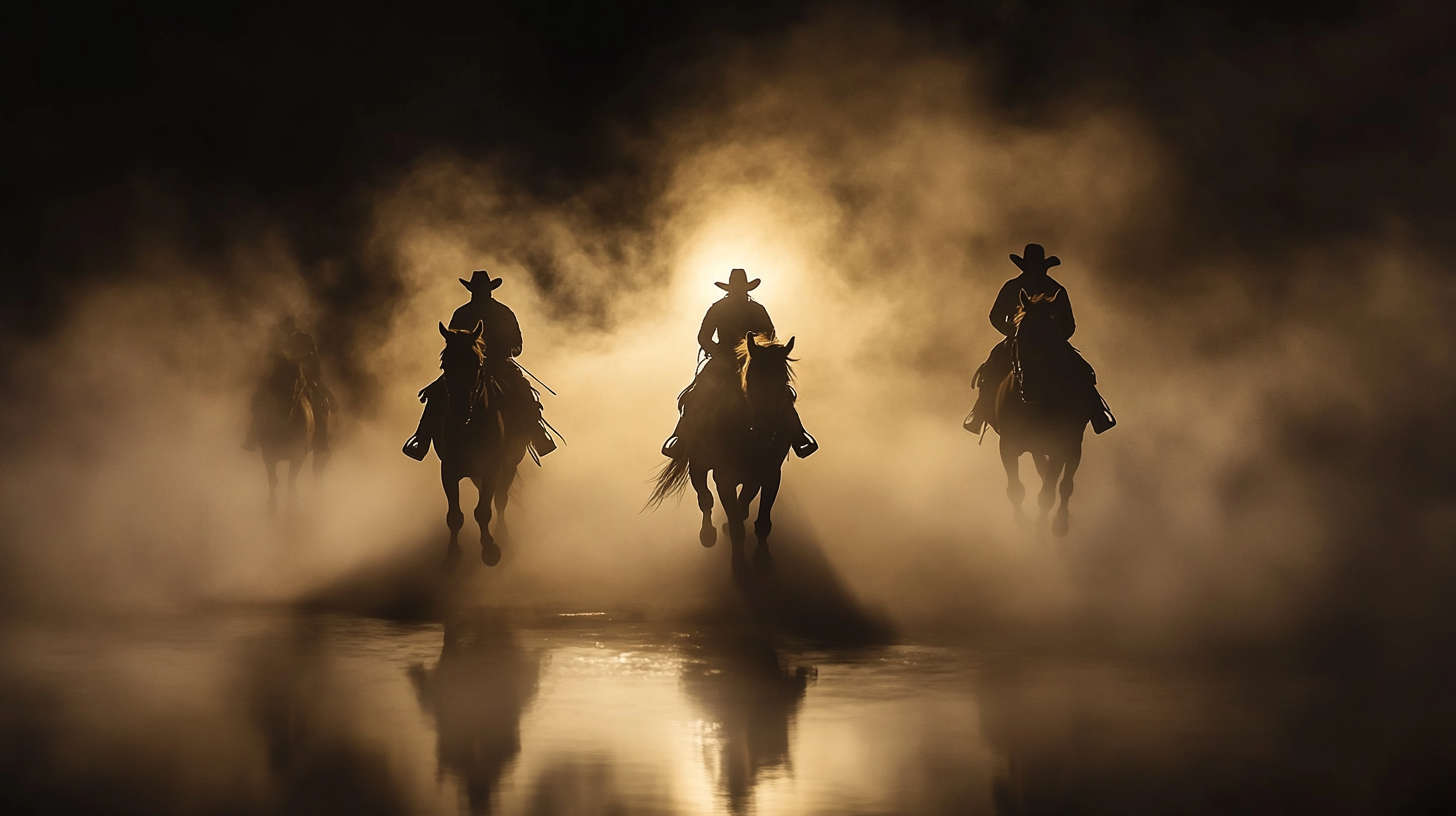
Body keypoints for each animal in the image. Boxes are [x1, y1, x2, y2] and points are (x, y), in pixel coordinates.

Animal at [253, 349, 327, 510]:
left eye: (301, 381)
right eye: (277, 376)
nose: (285, 410)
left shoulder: (298, 454)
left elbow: (291, 481)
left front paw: (291, 504)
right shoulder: (267, 453)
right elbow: (273, 480)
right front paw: (272, 504)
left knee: (317, 471)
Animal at [430, 319, 535, 568]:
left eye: (477, 364)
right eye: (445, 364)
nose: (459, 410)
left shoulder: (492, 470)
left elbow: (484, 510)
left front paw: (490, 550)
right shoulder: (448, 471)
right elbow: (455, 516)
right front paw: (453, 554)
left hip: (509, 466)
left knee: (500, 499)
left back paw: (503, 535)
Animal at [655, 332, 803, 574]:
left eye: (783, 382)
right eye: (749, 380)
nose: (764, 432)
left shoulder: (769, 475)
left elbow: (758, 519)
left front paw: (762, 556)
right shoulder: (724, 478)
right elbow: (736, 525)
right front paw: (740, 564)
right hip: (697, 464)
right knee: (704, 498)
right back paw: (707, 535)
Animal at [995, 288, 1094, 536]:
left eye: (1051, 338)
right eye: (1019, 336)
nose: (1031, 387)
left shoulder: (1059, 447)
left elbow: (1047, 494)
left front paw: (1042, 529)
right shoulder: (1007, 446)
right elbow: (1015, 490)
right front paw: (1023, 525)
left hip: (1073, 446)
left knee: (1066, 484)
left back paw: (1060, 523)